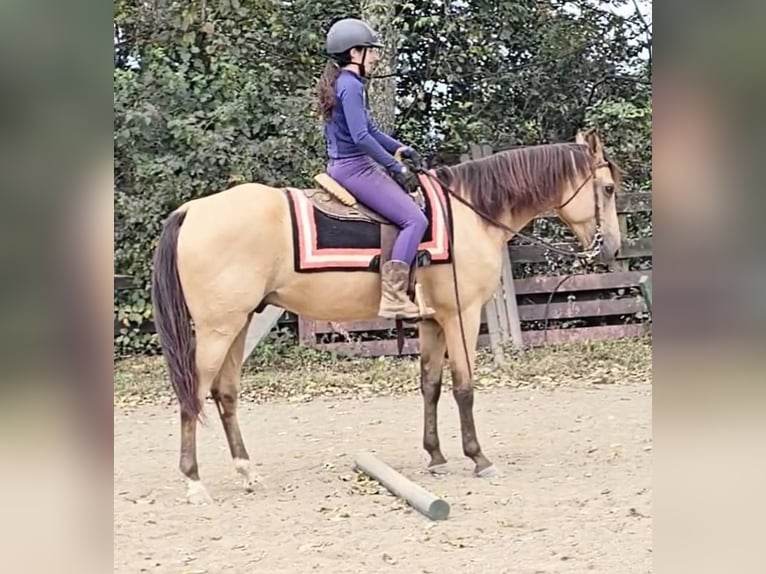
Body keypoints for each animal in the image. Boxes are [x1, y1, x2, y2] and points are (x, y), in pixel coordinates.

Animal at [150, 128, 622, 504]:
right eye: (608, 189)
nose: (613, 249)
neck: (470, 213)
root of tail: (192, 210)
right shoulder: (462, 316)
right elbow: (464, 387)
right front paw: (478, 458)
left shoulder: (432, 321)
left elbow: (430, 386)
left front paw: (436, 456)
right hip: (217, 329)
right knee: (193, 395)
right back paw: (194, 483)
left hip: (240, 323)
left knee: (225, 393)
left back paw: (247, 472)